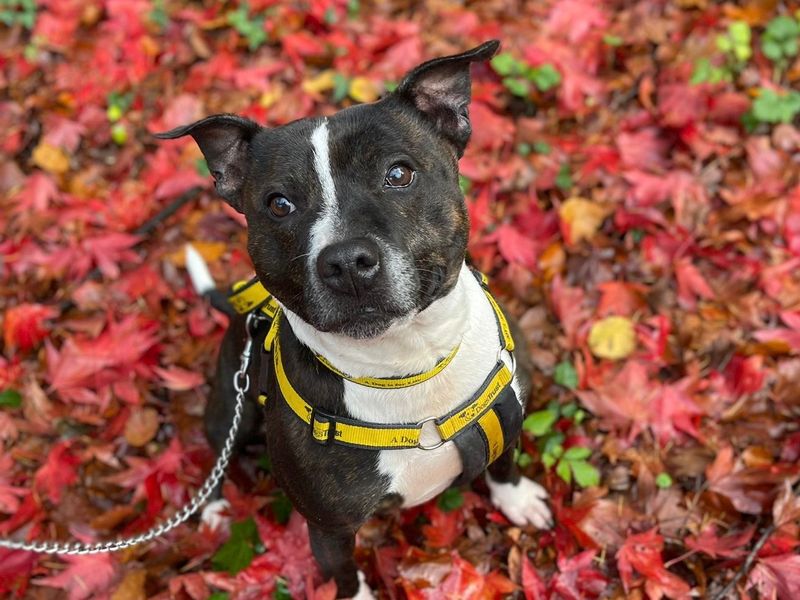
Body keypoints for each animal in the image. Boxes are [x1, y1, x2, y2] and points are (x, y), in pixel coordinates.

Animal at [159, 39, 552, 596]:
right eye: (279, 204)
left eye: (399, 174)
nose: (345, 261)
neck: (410, 364)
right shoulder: (328, 527)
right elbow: (343, 571)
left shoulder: (508, 418)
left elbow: (505, 463)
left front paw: (516, 498)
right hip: (228, 405)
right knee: (219, 451)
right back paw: (213, 510)